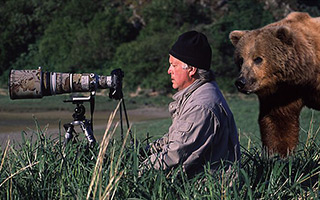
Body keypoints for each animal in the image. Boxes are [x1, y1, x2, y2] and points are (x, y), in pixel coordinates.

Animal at [229, 11, 320, 157]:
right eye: (241, 59)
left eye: (258, 59)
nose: (241, 82)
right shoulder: (282, 92)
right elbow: (279, 122)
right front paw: (277, 155)